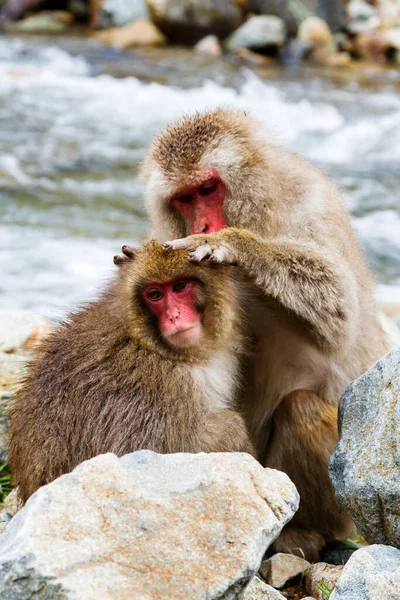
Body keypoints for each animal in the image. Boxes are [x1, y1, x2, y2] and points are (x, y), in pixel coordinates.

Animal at [10, 241, 256, 504]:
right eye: (155, 294)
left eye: (179, 287)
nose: (174, 316)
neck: (156, 347)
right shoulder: (154, 388)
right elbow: (154, 448)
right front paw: (236, 433)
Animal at [141, 108, 390, 564]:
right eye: (183, 198)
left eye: (207, 188)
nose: (203, 223)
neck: (259, 209)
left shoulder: (312, 205)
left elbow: (339, 316)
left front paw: (234, 245)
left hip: (343, 506)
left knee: (301, 408)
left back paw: (301, 532)